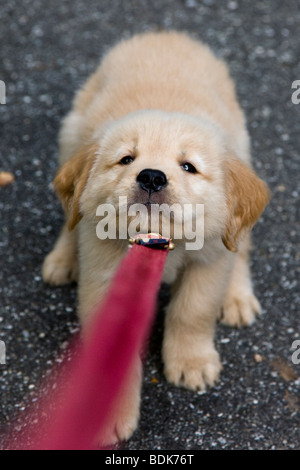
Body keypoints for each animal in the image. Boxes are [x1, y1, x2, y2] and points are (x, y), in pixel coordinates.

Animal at [42, 31, 270, 442]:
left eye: (188, 167)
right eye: (126, 159)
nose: (151, 177)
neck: (156, 241)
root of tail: (166, 34)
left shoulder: (209, 263)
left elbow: (193, 310)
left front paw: (191, 360)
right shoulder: (106, 277)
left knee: (240, 243)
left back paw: (238, 295)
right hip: (70, 133)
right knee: (72, 214)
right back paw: (64, 258)